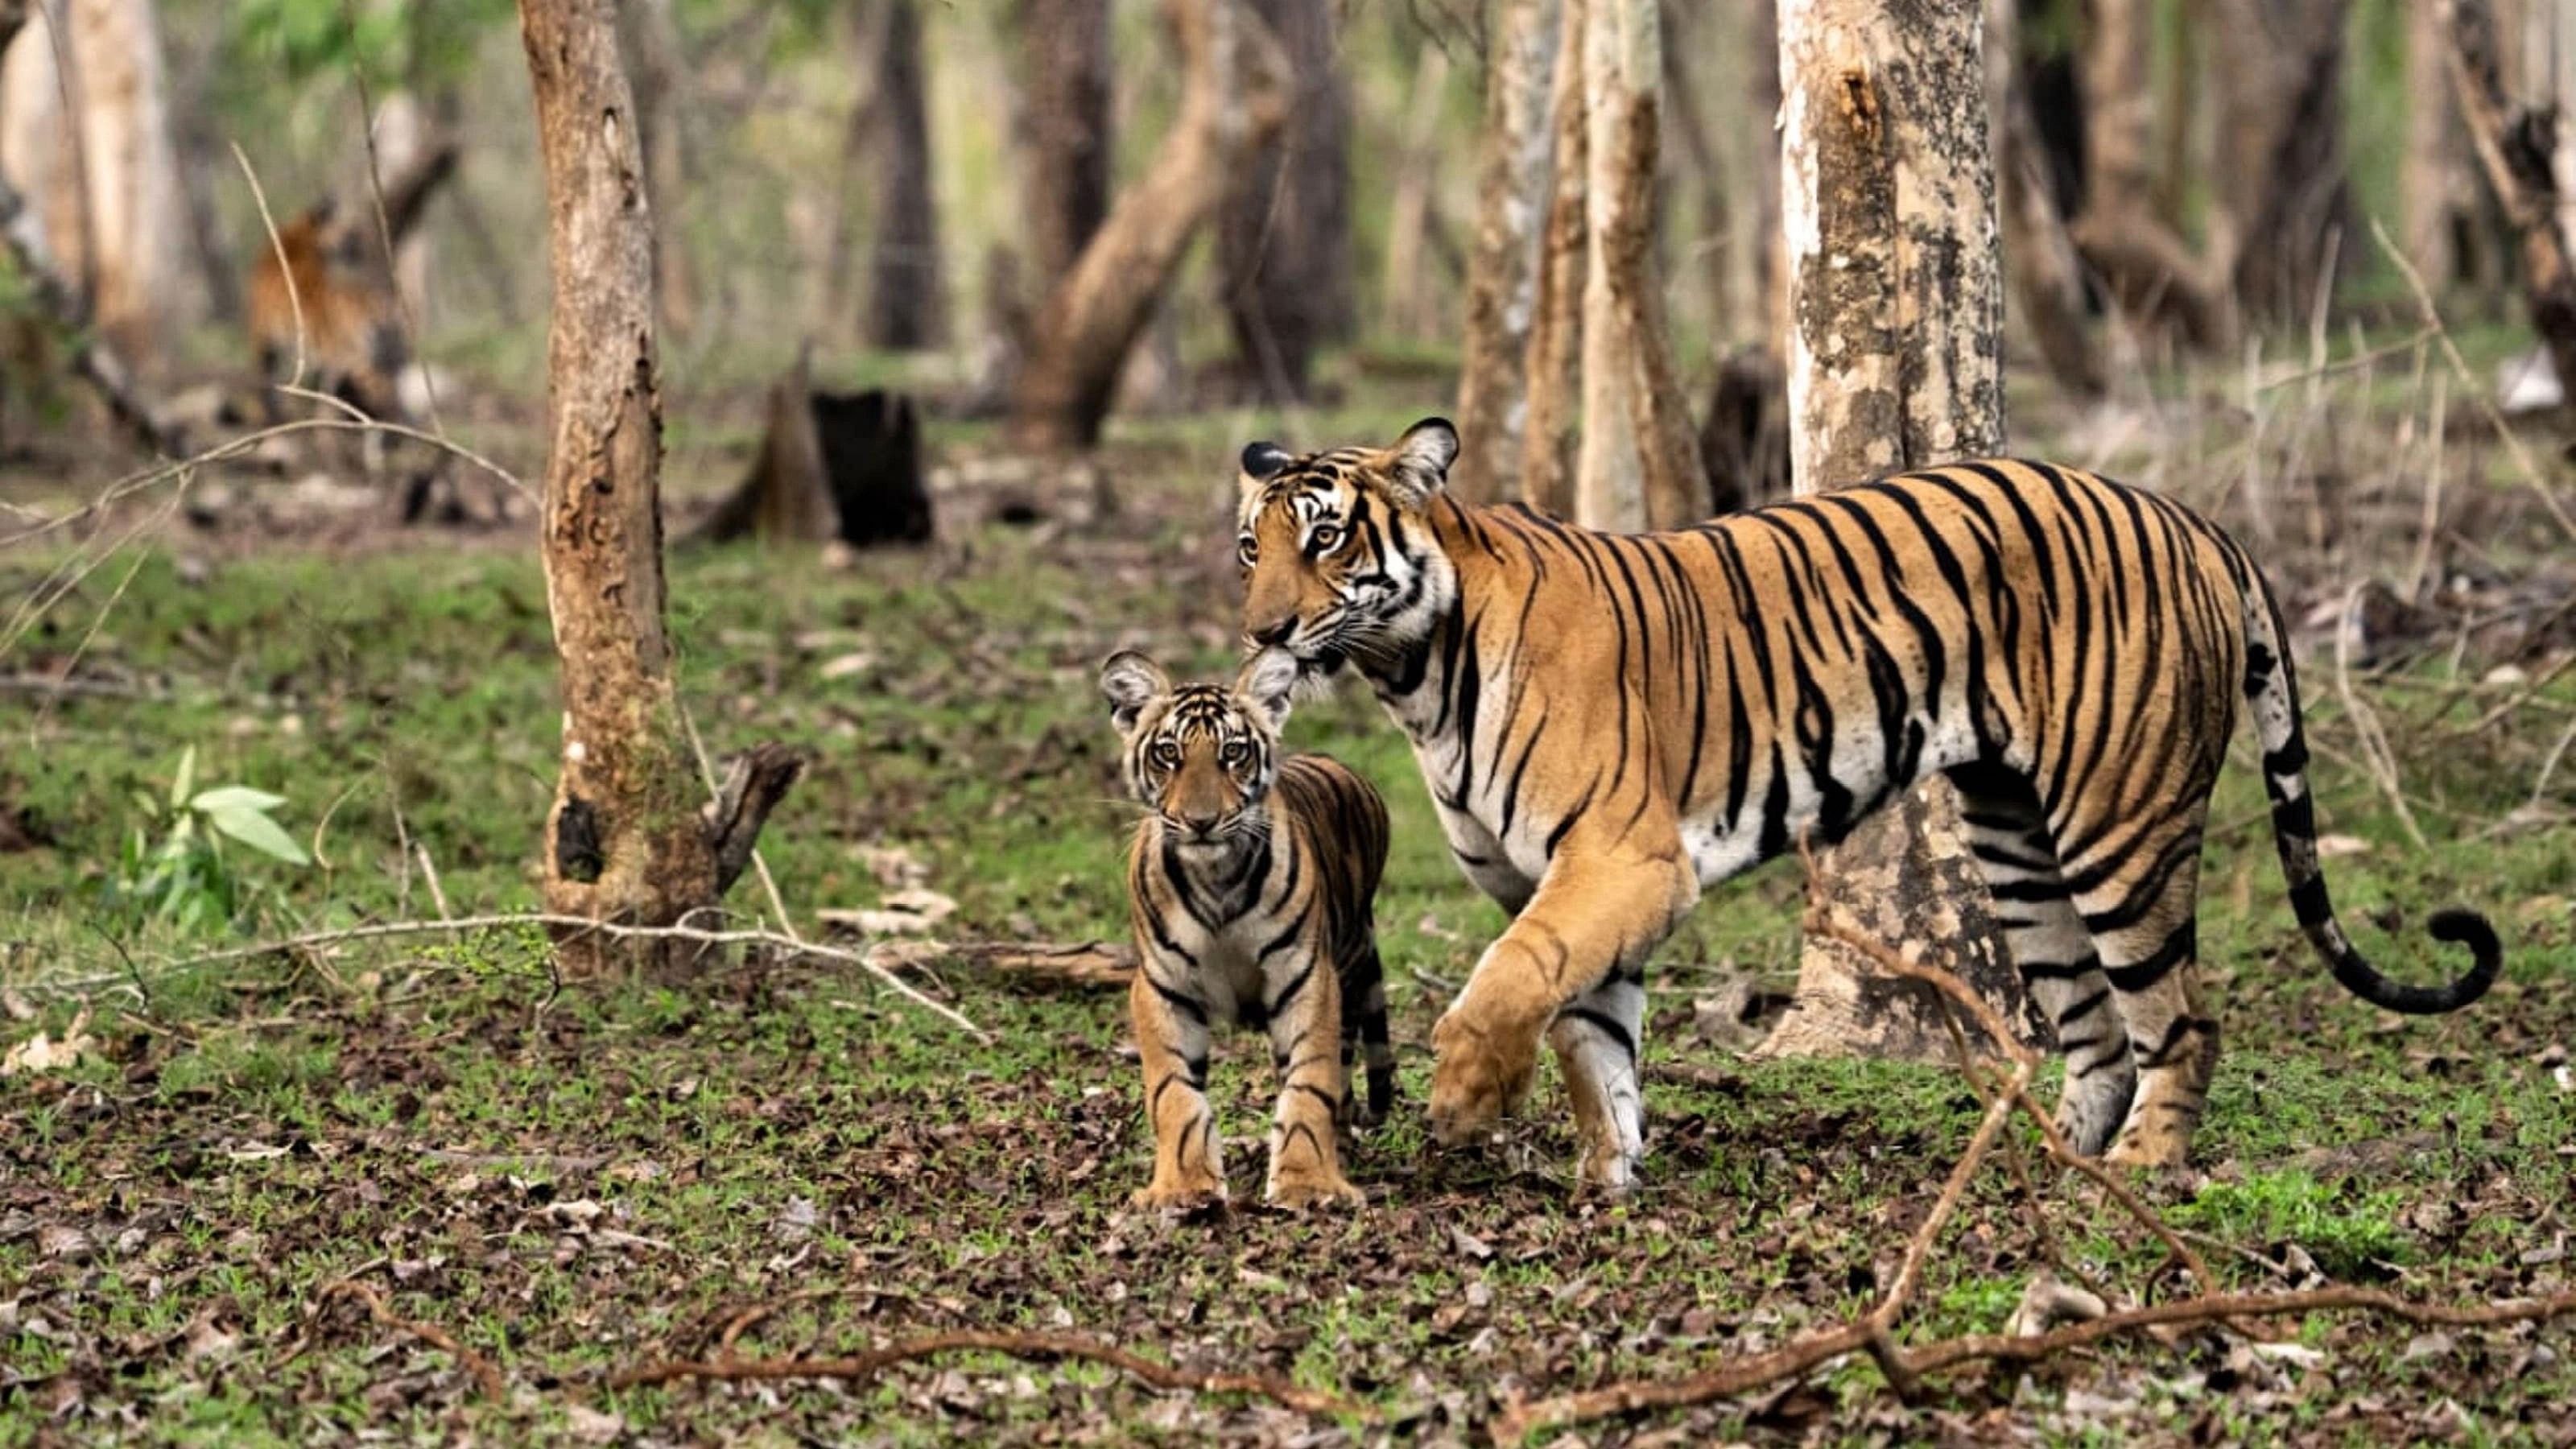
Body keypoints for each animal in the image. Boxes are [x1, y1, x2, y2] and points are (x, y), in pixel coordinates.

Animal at [1236, 415, 2504, 1186]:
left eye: (1327, 538)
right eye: (1251, 546)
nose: (1260, 633)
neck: (1415, 675)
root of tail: (2189, 515)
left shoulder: (1620, 859)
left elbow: (1515, 983)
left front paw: (1462, 1102)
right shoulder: (1558, 880)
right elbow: (1589, 1035)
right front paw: (1611, 1173)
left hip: (2120, 823)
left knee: (2181, 1018)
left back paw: (2138, 1173)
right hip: (2016, 837)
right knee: (2094, 1027)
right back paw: (2047, 1169)